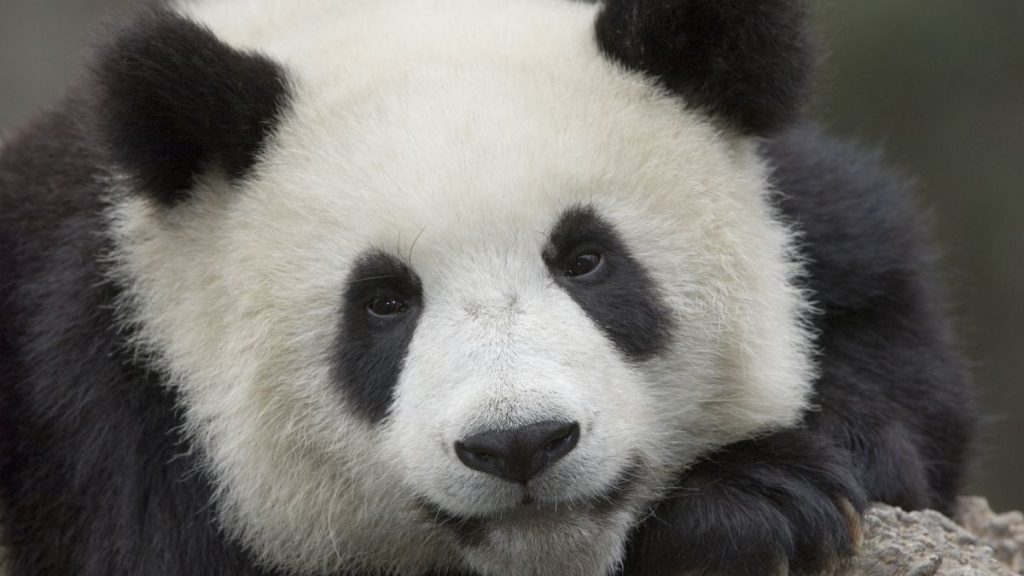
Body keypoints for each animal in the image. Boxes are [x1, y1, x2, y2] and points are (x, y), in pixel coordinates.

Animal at [0, 0, 977, 574]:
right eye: (384, 301)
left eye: (586, 260)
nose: (520, 444)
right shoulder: (99, 415)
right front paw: (752, 512)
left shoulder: (823, 219)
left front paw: (796, 483)